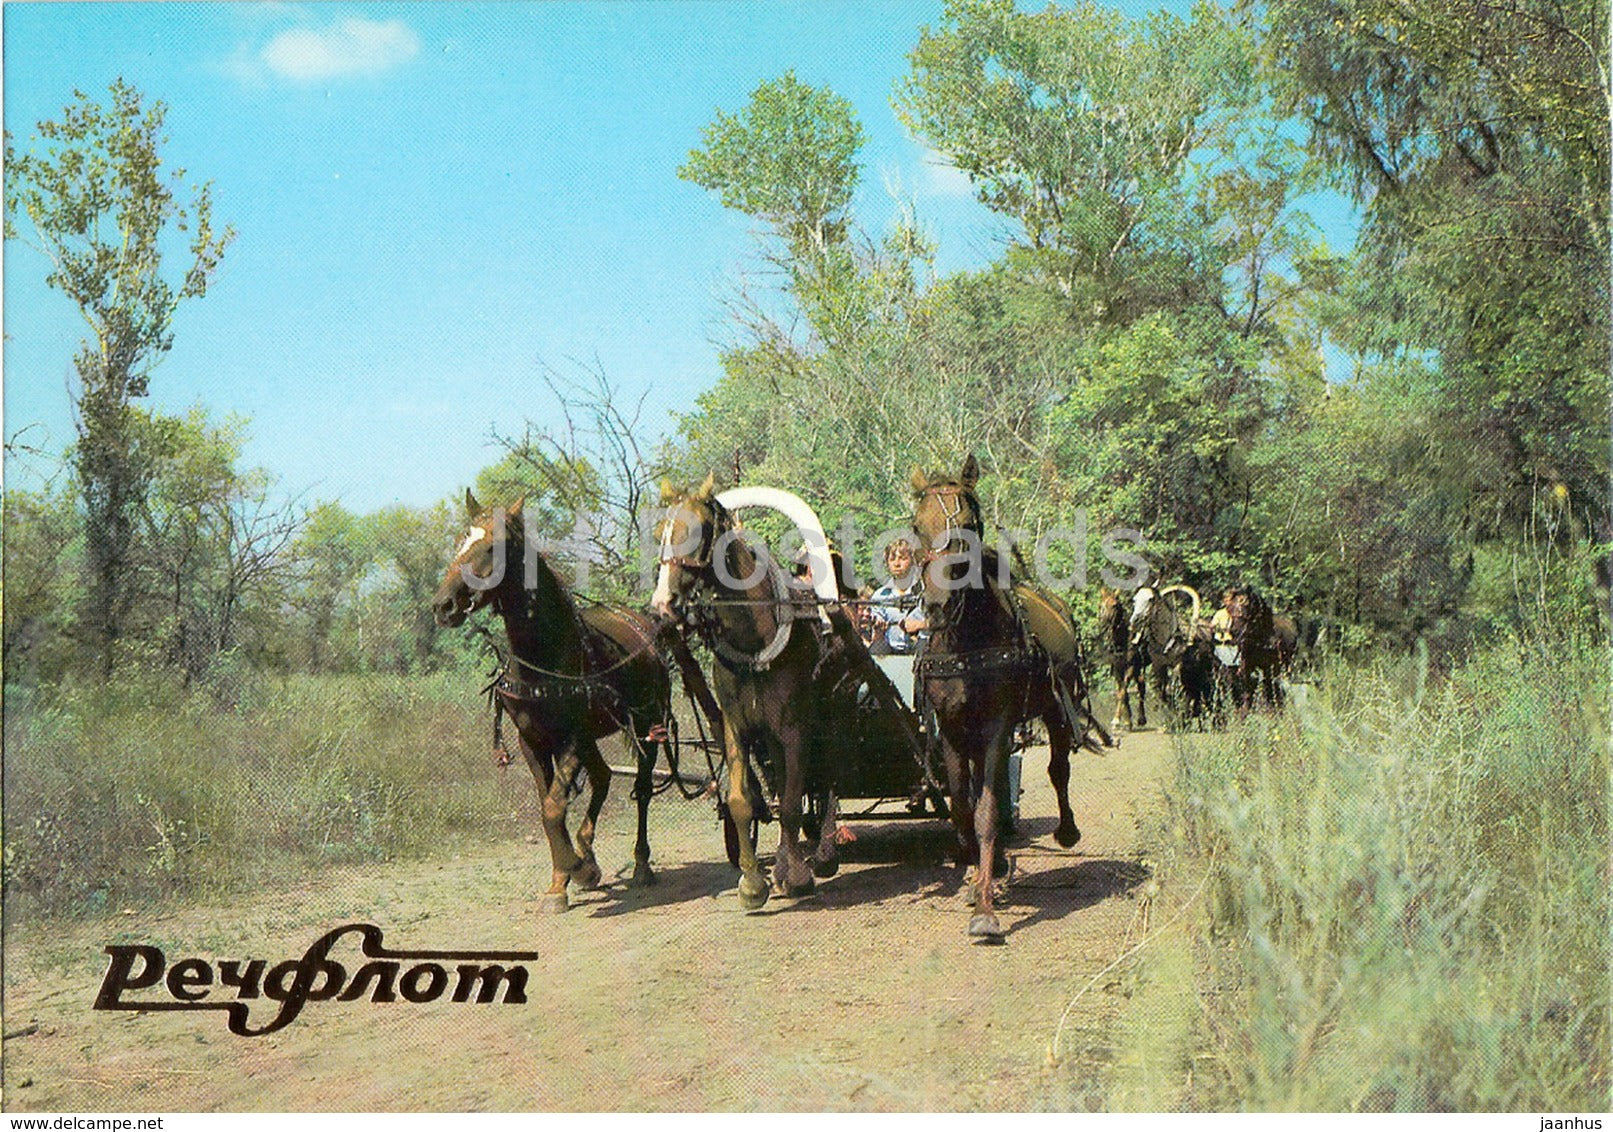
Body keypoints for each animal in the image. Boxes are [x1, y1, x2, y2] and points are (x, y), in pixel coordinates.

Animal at [432, 490, 674, 913]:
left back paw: (641, 864)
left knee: (642, 790)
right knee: (603, 776)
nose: (443, 605)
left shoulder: (571, 738)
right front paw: (565, 878)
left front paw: (576, 870)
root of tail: (644, 626)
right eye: (461, 540)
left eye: (494, 546)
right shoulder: (533, 740)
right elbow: (551, 807)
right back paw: (588, 851)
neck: (542, 656)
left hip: (648, 725)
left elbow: (553, 807)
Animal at [649, 475, 846, 910]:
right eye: (661, 534)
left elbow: (790, 805)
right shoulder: (738, 726)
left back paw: (823, 852)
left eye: (697, 532)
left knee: (827, 780)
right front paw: (754, 883)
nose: (662, 606)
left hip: (825, 720)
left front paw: (799, 875)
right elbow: (743, 801)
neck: (756, 639)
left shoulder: (796, 728)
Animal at [910, 455, 1110, 941]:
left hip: (1055, 710)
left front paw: (985, 908)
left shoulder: (997, 724)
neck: (965, 641)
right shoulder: (952, 730)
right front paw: (977, 873)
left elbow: (985, 809)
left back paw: (1066, 831)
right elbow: (963, 805)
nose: (938, 606)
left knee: (1057, 770)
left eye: (968, 525)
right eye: (917, 526)